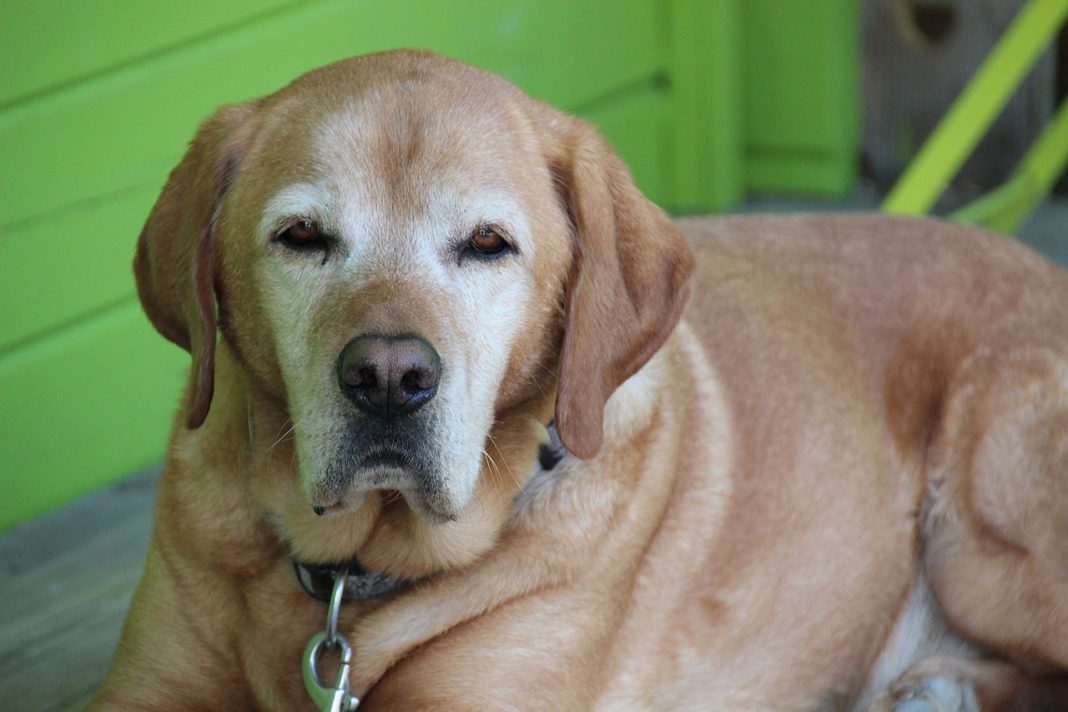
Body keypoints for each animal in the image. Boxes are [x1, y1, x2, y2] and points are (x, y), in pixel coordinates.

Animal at [93, 51, 1068, 712]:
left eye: (488, 244)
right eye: (301, 236)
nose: (388, 379)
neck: (350, 577)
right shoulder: (146, 687)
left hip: (984, 532)